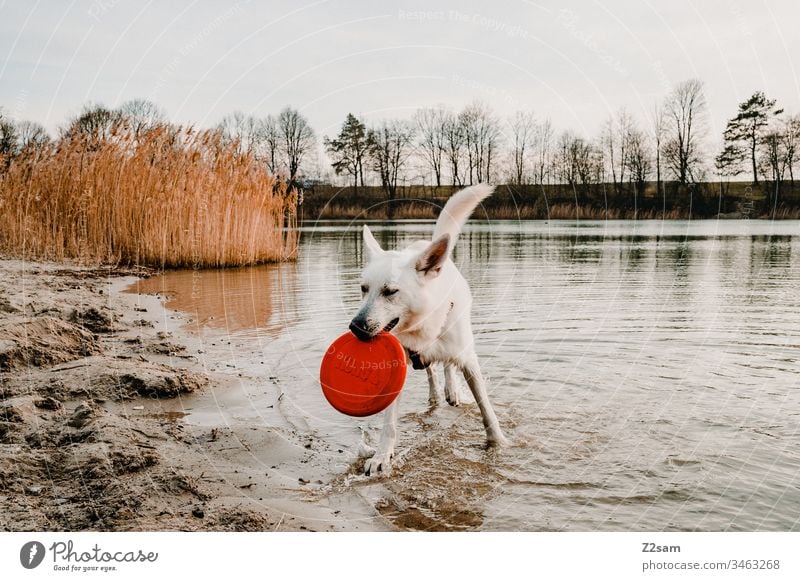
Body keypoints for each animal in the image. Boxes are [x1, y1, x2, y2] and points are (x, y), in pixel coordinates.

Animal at [348, 184, 510, 474]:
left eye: (390, 292)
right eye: (364, 289)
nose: (355, 327)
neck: (421, 324)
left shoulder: (469, 360)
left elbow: (486, 408)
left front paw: (498, 443)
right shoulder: (396, 368)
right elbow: (389, 423)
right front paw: (382, 456)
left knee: (446, 366)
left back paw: (451, 390)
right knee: (432, 371)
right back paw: (436, 393)